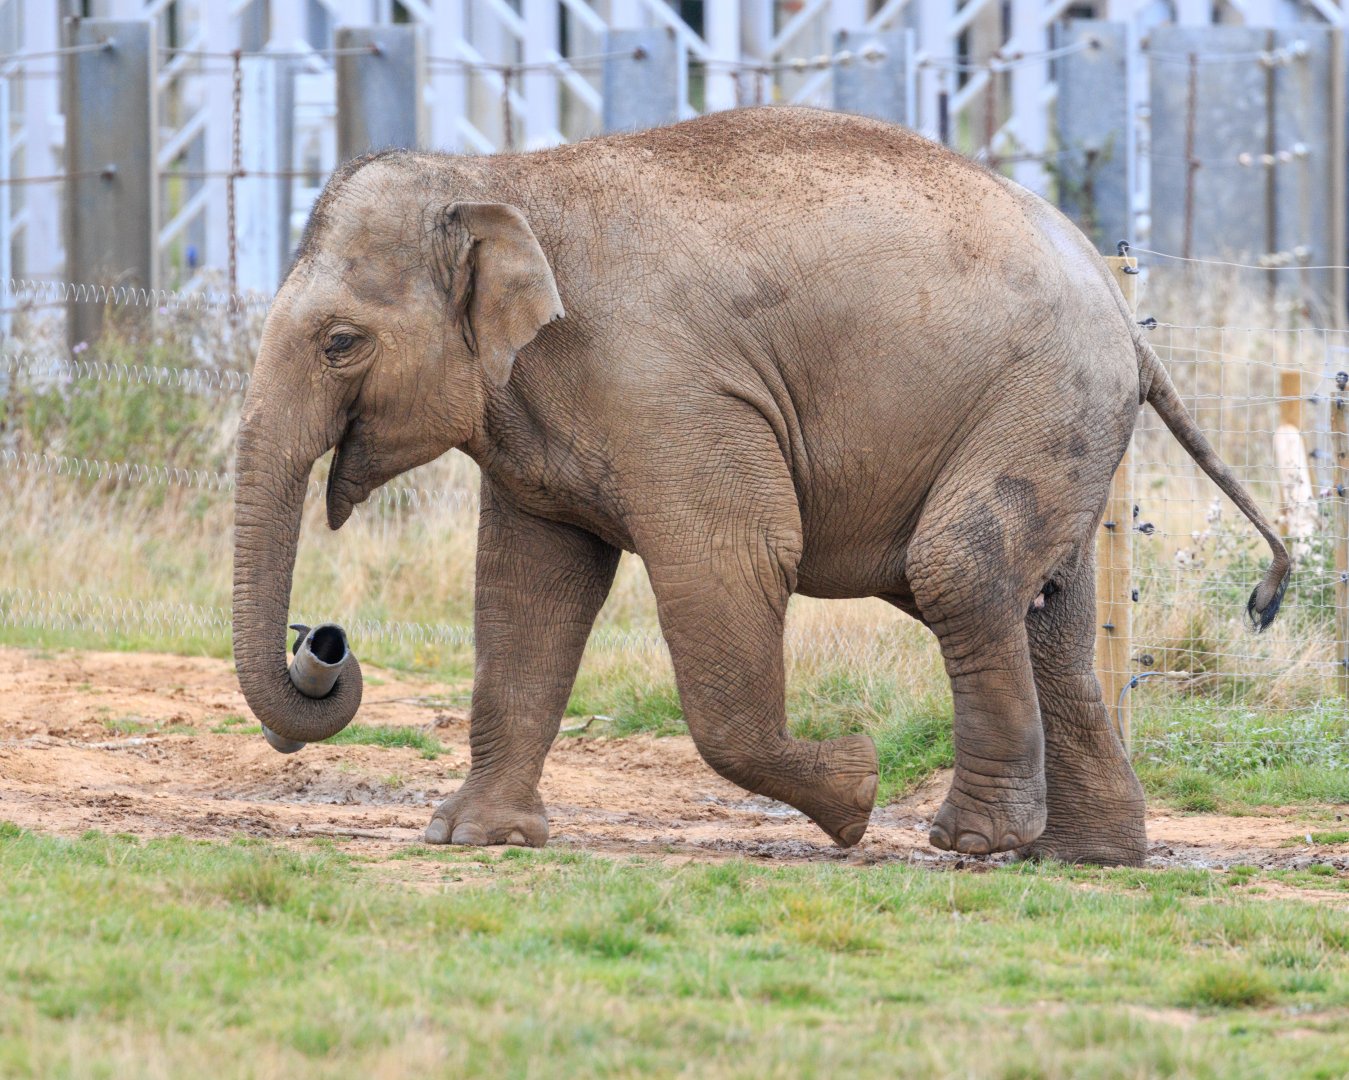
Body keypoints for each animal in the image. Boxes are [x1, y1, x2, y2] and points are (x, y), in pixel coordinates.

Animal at [232, 107, 1288, 867]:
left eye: (340, 343)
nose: (323, 643)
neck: (501, 177)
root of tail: (1125, 316)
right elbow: (527, 587)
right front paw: (472, 839)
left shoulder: (668, 386)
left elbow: (729, 561)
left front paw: (856, 792)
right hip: (1058, 420)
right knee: (1046, 609)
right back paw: (1086, 858)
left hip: (1043, 398)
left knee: (958, 570)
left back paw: (973, 842)